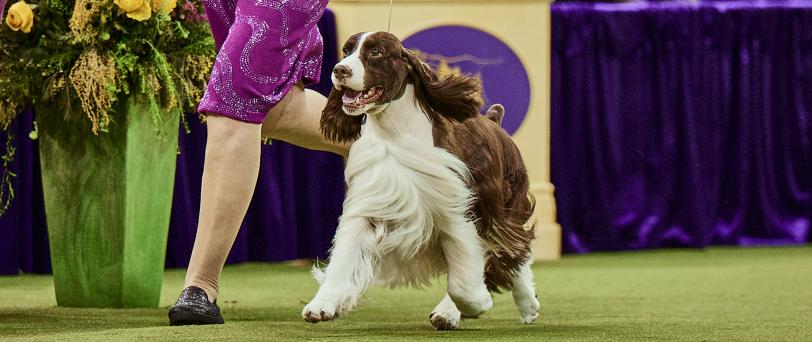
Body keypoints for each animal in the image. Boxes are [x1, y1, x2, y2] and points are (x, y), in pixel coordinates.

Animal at [302, 32, 544, 328]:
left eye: (376, 52)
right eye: (346, 51)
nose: (340, 70)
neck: (393, 134)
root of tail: (493, 121)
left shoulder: (457, 208)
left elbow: (463, 281)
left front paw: (477, 303)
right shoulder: (369, 203)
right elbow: (344, 257)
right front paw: (322, 305)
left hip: (503, 207)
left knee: (514, 250)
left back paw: (523, 304)